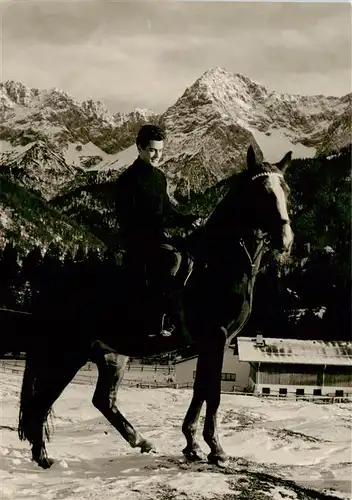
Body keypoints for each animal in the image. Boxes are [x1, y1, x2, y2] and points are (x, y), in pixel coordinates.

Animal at [8, 145, 294, 468]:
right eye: (261, 191)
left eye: (285, 190)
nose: (286, 240)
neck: (218, 264)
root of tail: (53, 287)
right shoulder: (216, 337)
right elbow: (213, 393)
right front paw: (216, 450)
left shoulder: (211, 342)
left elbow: (200, 389)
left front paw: (192, 445)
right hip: (67, 353)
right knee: (41, 402)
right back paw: (43, 457)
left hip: (111, 355)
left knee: (101, 400)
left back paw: (141, 441)